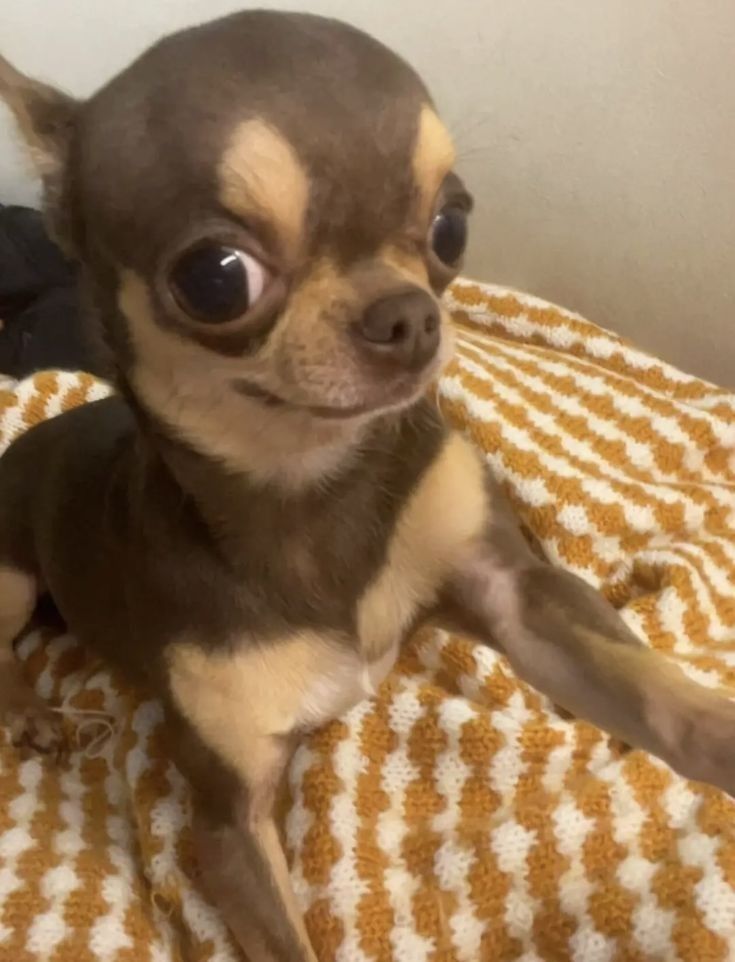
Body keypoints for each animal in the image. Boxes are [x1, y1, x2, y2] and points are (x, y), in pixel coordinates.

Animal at [1, 11, 735, 956]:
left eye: (451, 226)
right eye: (216, 278)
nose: (411, 315)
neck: (312, 492)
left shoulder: (515, 596)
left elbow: (651, 691)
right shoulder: (229, 824)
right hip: (10, 573)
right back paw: (32, 711)